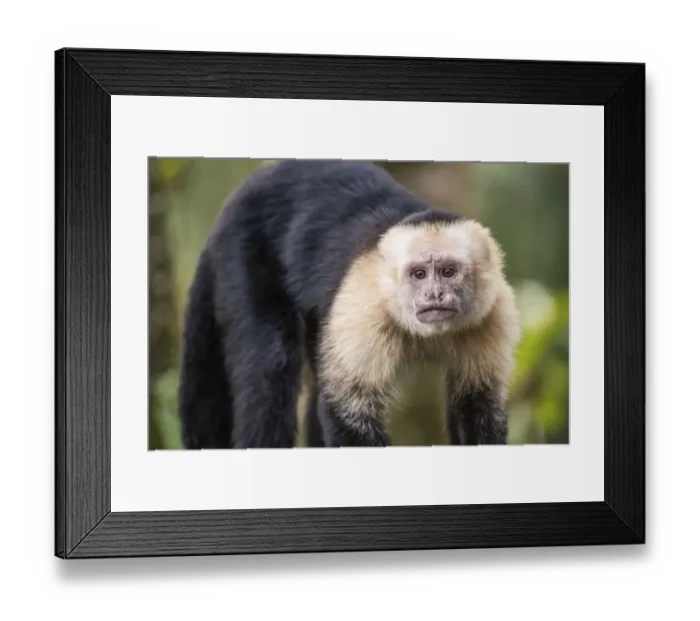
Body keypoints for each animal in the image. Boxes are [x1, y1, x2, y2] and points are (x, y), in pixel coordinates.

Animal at [177, 159, 520, 450]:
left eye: (448, 272)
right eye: (419, 274)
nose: (433, 294)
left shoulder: (495, 311)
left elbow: (478, 408)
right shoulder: (364, 306)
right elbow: (348, 411)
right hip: (241, 253)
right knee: (269, 368)